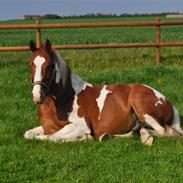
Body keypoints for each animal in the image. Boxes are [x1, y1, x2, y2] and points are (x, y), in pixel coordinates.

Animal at [24, 39, 183, 146]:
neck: (63, 99)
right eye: (30, 64)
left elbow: (53, 137)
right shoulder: (46, 127)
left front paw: (85, 138)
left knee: (163, 131)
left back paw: (146, 138)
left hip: (140, 105)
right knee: (137, 131)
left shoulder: (81, 125)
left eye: (50, 65)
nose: (37, 95)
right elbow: (29, 134)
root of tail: (167, 102)